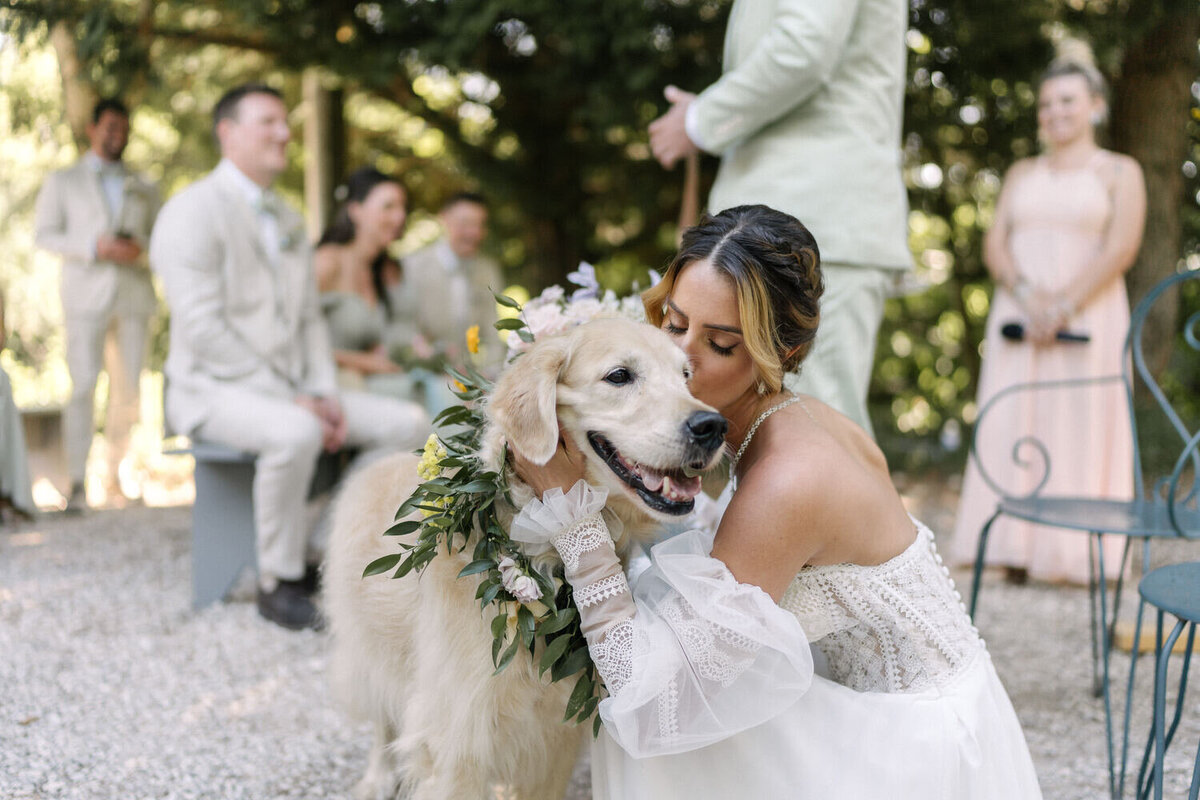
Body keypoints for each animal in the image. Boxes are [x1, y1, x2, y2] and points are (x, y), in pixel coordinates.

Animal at [324, 319, 724, 800]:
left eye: (686, 376)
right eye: (620, 376)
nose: (713, 425)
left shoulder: (557, 735)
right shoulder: (458, 741)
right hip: (371, 651)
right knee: (383, 714)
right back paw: (377, 777)